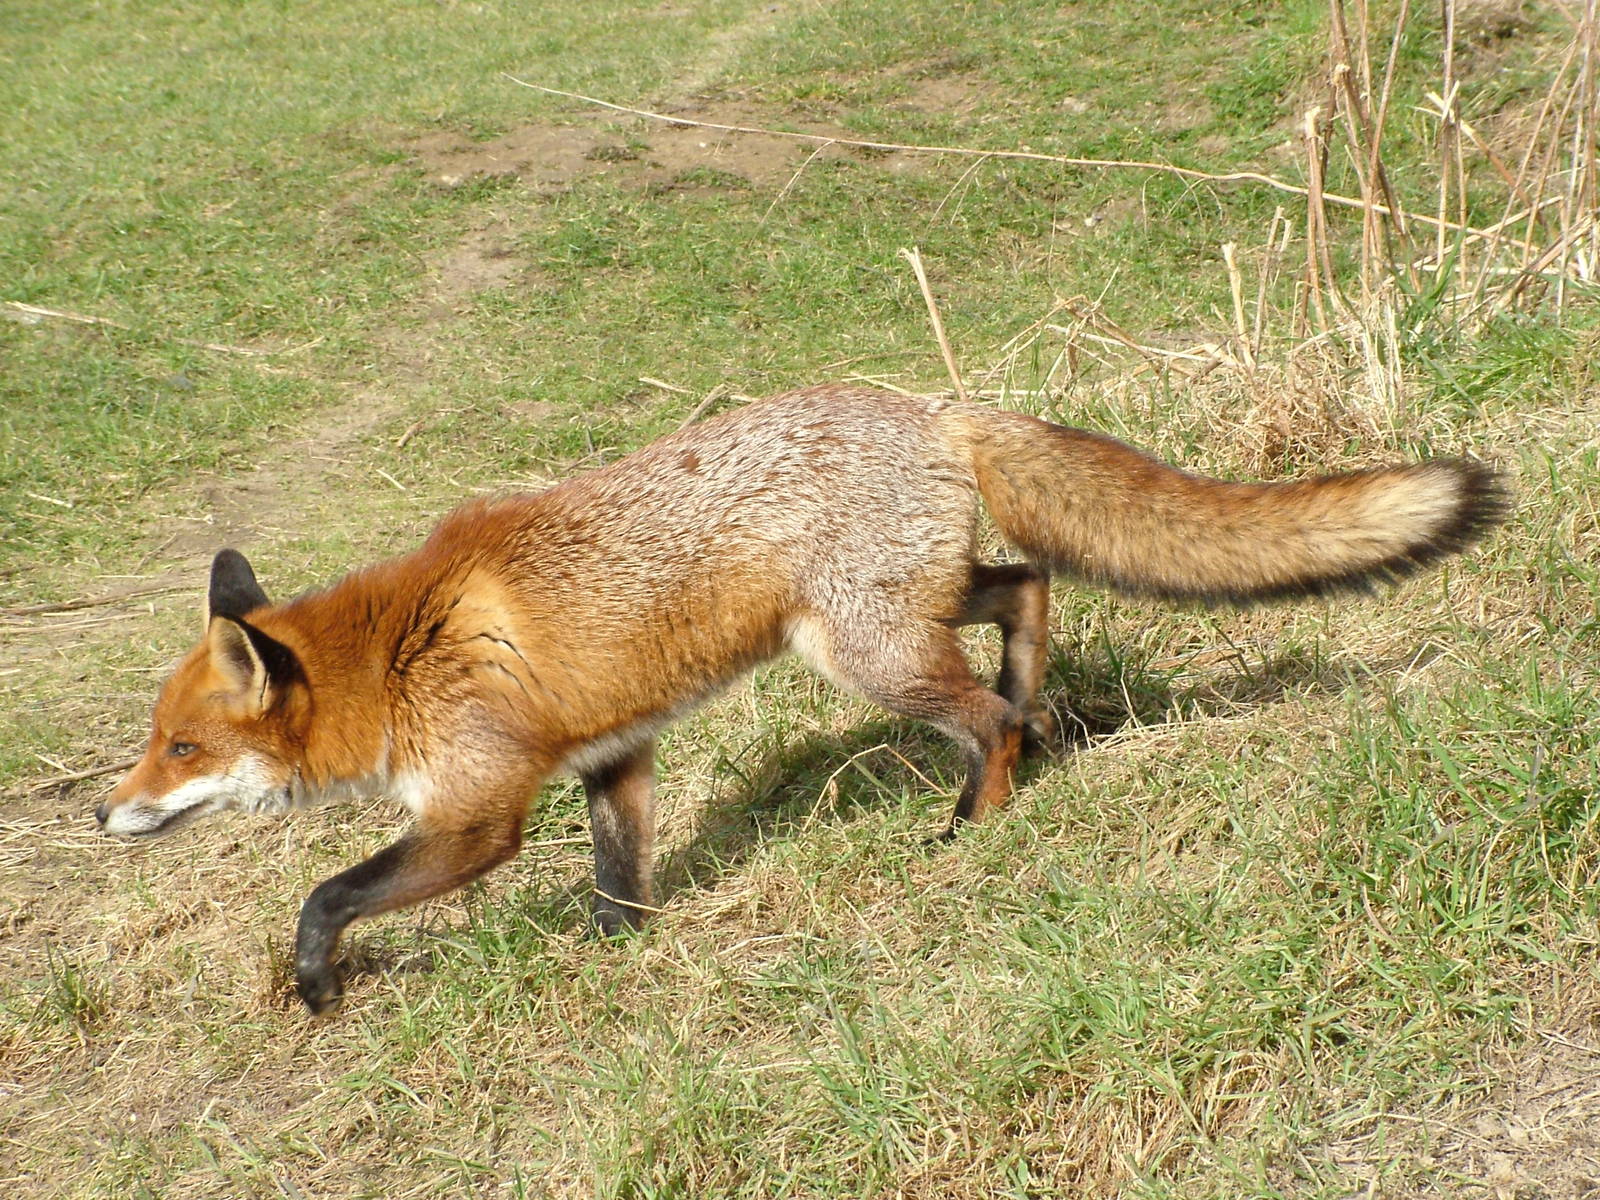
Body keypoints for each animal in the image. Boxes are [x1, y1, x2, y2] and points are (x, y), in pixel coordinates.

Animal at [96, 384, 1504, 1013]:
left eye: (179, 749)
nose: (102, 817)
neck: (398, 655)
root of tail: (930, 406)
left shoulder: (482, 810)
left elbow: (326, 893)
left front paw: (316, 984)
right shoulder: (614, 759)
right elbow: (618, 886)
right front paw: (618, 963)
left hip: (863, 655)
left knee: (981, 715)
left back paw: (976, 819)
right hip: (901, 615)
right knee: (1029, 588)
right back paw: (1042, 713)